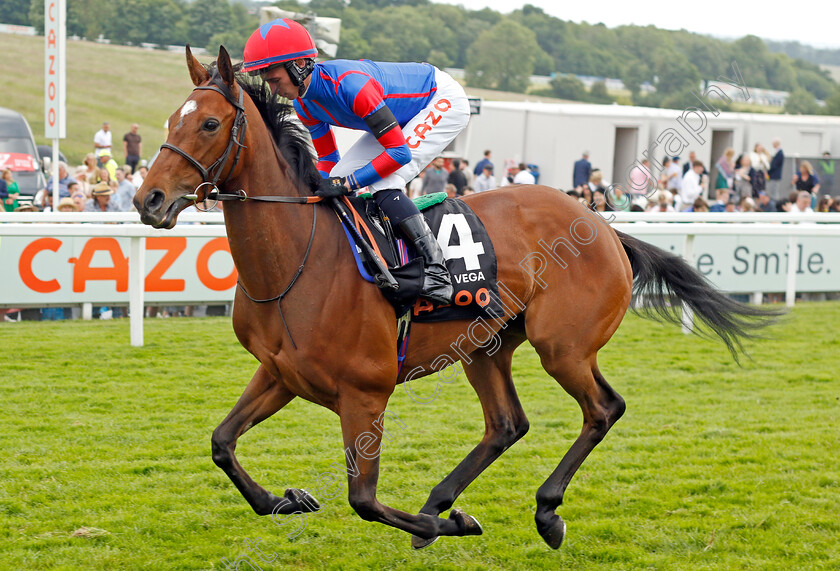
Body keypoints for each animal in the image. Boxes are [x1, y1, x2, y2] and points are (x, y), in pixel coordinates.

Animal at [133, 48, 776, 548]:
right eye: (171, 118)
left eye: (209, 124)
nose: (149, 199)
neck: (299, 259)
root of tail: (604, 226)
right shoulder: (280, 374)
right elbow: (221, 443)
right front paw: (286, 500)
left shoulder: (365, 393)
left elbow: (364, 500)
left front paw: (450, 525)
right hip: (487, 347)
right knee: (507, 425)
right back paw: (442, 500)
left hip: (563, 347)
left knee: (602, 409)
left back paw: (540, 511)